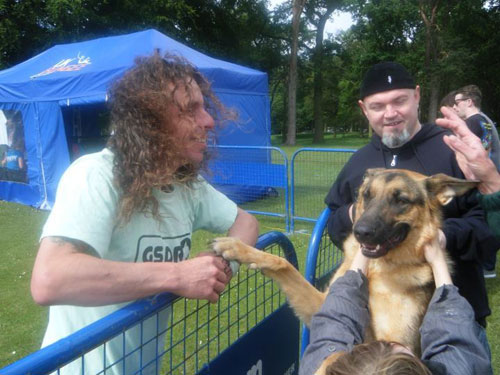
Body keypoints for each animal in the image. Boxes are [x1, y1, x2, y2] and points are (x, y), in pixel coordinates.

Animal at [210, 169, 476, 372]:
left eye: (401, 200)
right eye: (366, 196)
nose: (361, 232)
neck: (377, 270)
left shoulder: (395, 343)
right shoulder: (324, 307)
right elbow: (283, 264)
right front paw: (238, 249)